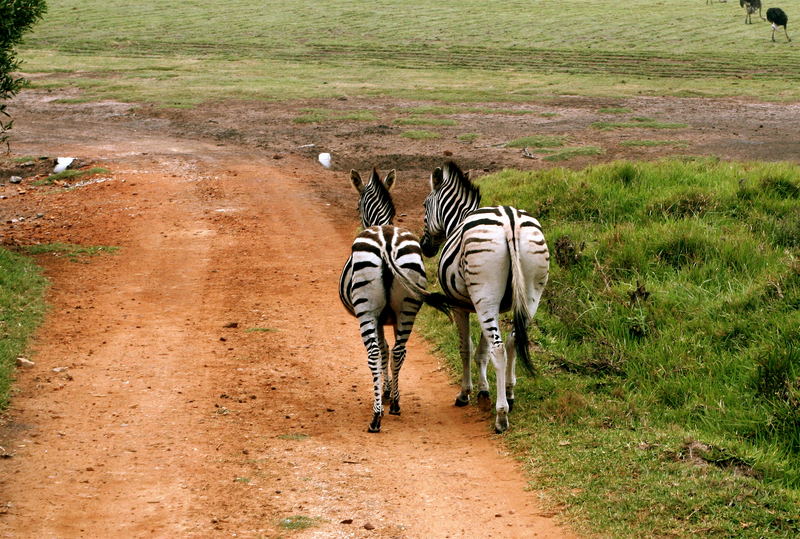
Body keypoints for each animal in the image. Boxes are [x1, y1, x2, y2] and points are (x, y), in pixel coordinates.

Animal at [340, 171, 434, 432]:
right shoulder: (390, 317)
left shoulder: (378, 317)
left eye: (357, 206)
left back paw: (376, 416)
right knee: (400, 351)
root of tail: (387, 240)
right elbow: (390, 350)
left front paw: (384, 392)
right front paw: (391, 394)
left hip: (366, 309)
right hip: (408, 307)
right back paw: (396, 405)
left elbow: (382, 350)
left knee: (373, 352)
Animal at [418, 160, 552, 434]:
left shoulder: (461, 306)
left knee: (499, 350)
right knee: (513, 340)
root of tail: (509, 219)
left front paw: (465, 393)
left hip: (486, 295)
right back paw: (509, 394)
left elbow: (467, 348)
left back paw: (501, 415)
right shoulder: (487, 306)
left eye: (425, 205)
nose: (424, 246)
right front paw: (483, 392)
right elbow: (482, 349)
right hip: (529, 294)